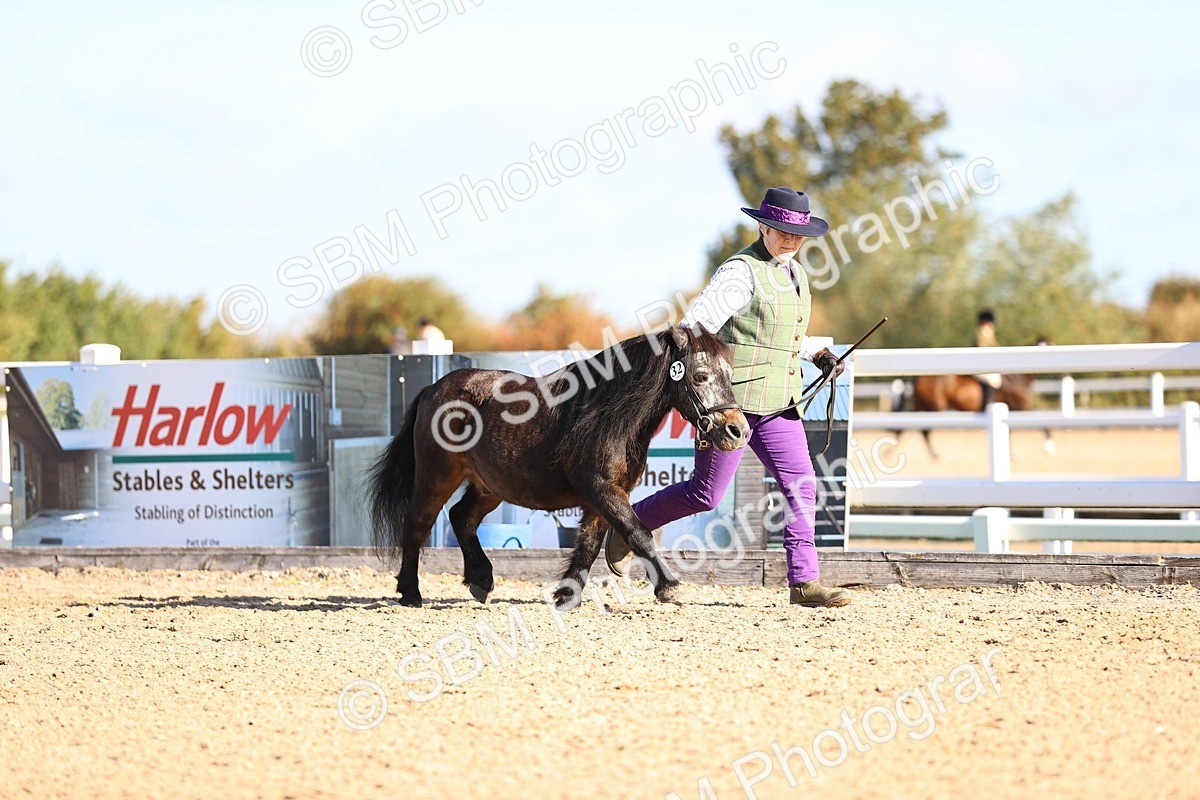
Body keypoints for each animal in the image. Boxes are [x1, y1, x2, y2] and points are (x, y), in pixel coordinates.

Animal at [367, 325, 750, 609]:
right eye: (700, 376)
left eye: (730, 375)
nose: (738, 431)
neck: (608, 416)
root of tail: (432, 389)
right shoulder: (601, 488)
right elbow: (637, 532)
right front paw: (668, 585)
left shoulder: (603, 497)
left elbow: (589, 545)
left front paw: (567, 595)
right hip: (436, 476)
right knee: (417, 524)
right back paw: (410, 592)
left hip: (490, 486)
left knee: (462, 517)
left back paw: (481, 580)